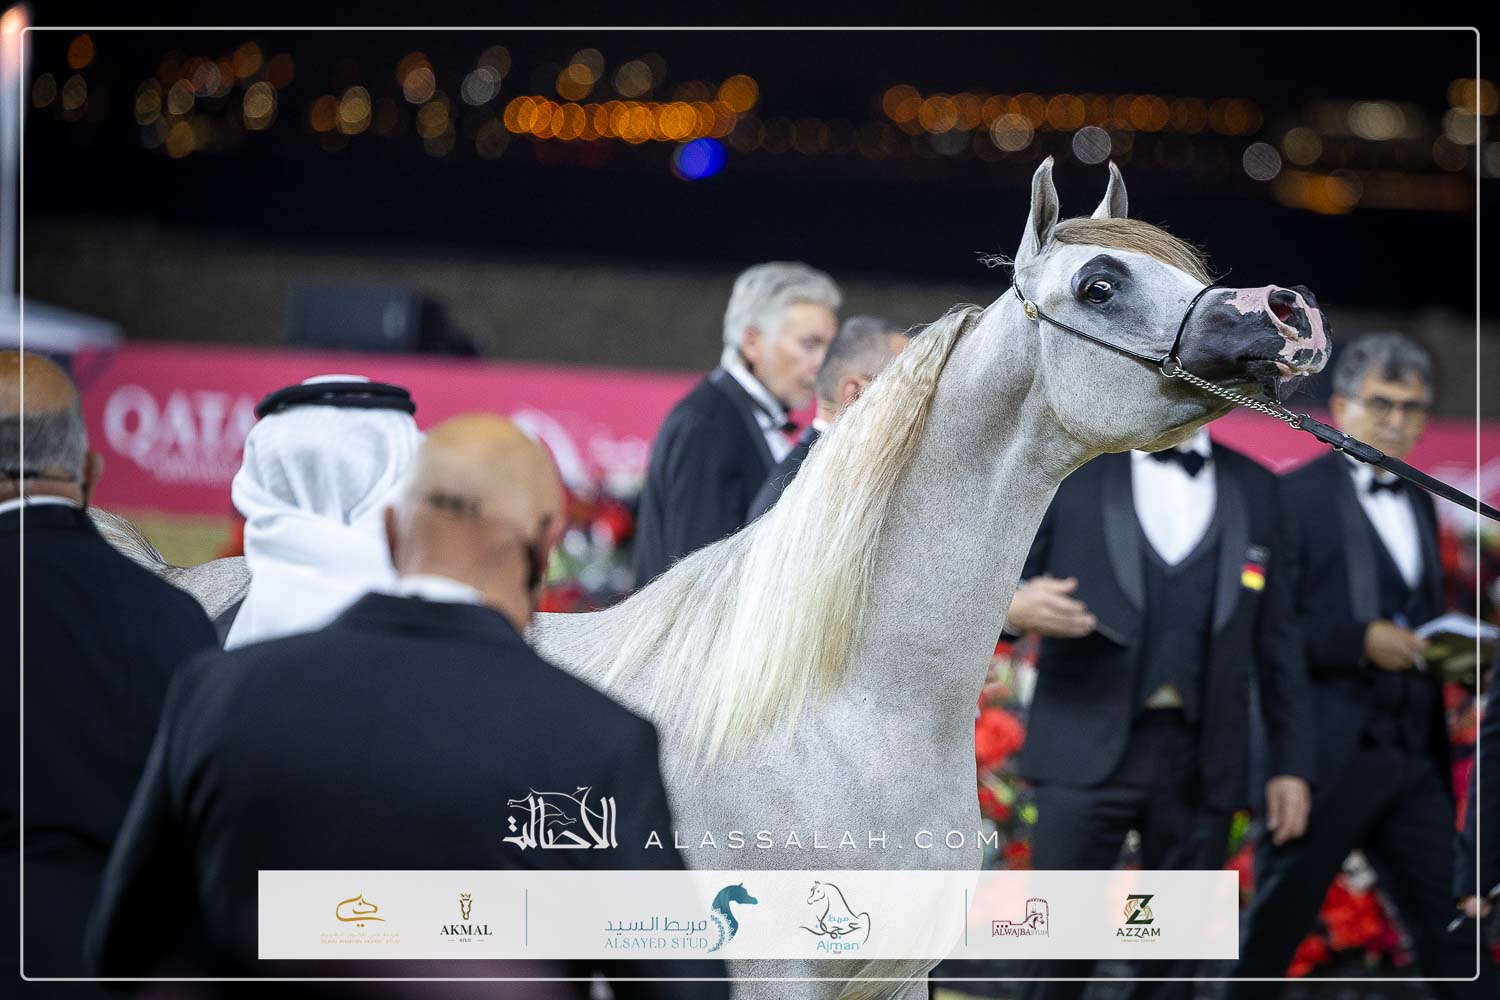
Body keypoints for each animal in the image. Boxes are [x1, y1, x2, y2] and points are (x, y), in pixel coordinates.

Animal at [527, 157, 1330, 999]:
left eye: (1191, 272)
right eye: (1100, 285)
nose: (1290, 310)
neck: (840, 715)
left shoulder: (900, 976)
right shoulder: (771, 975)